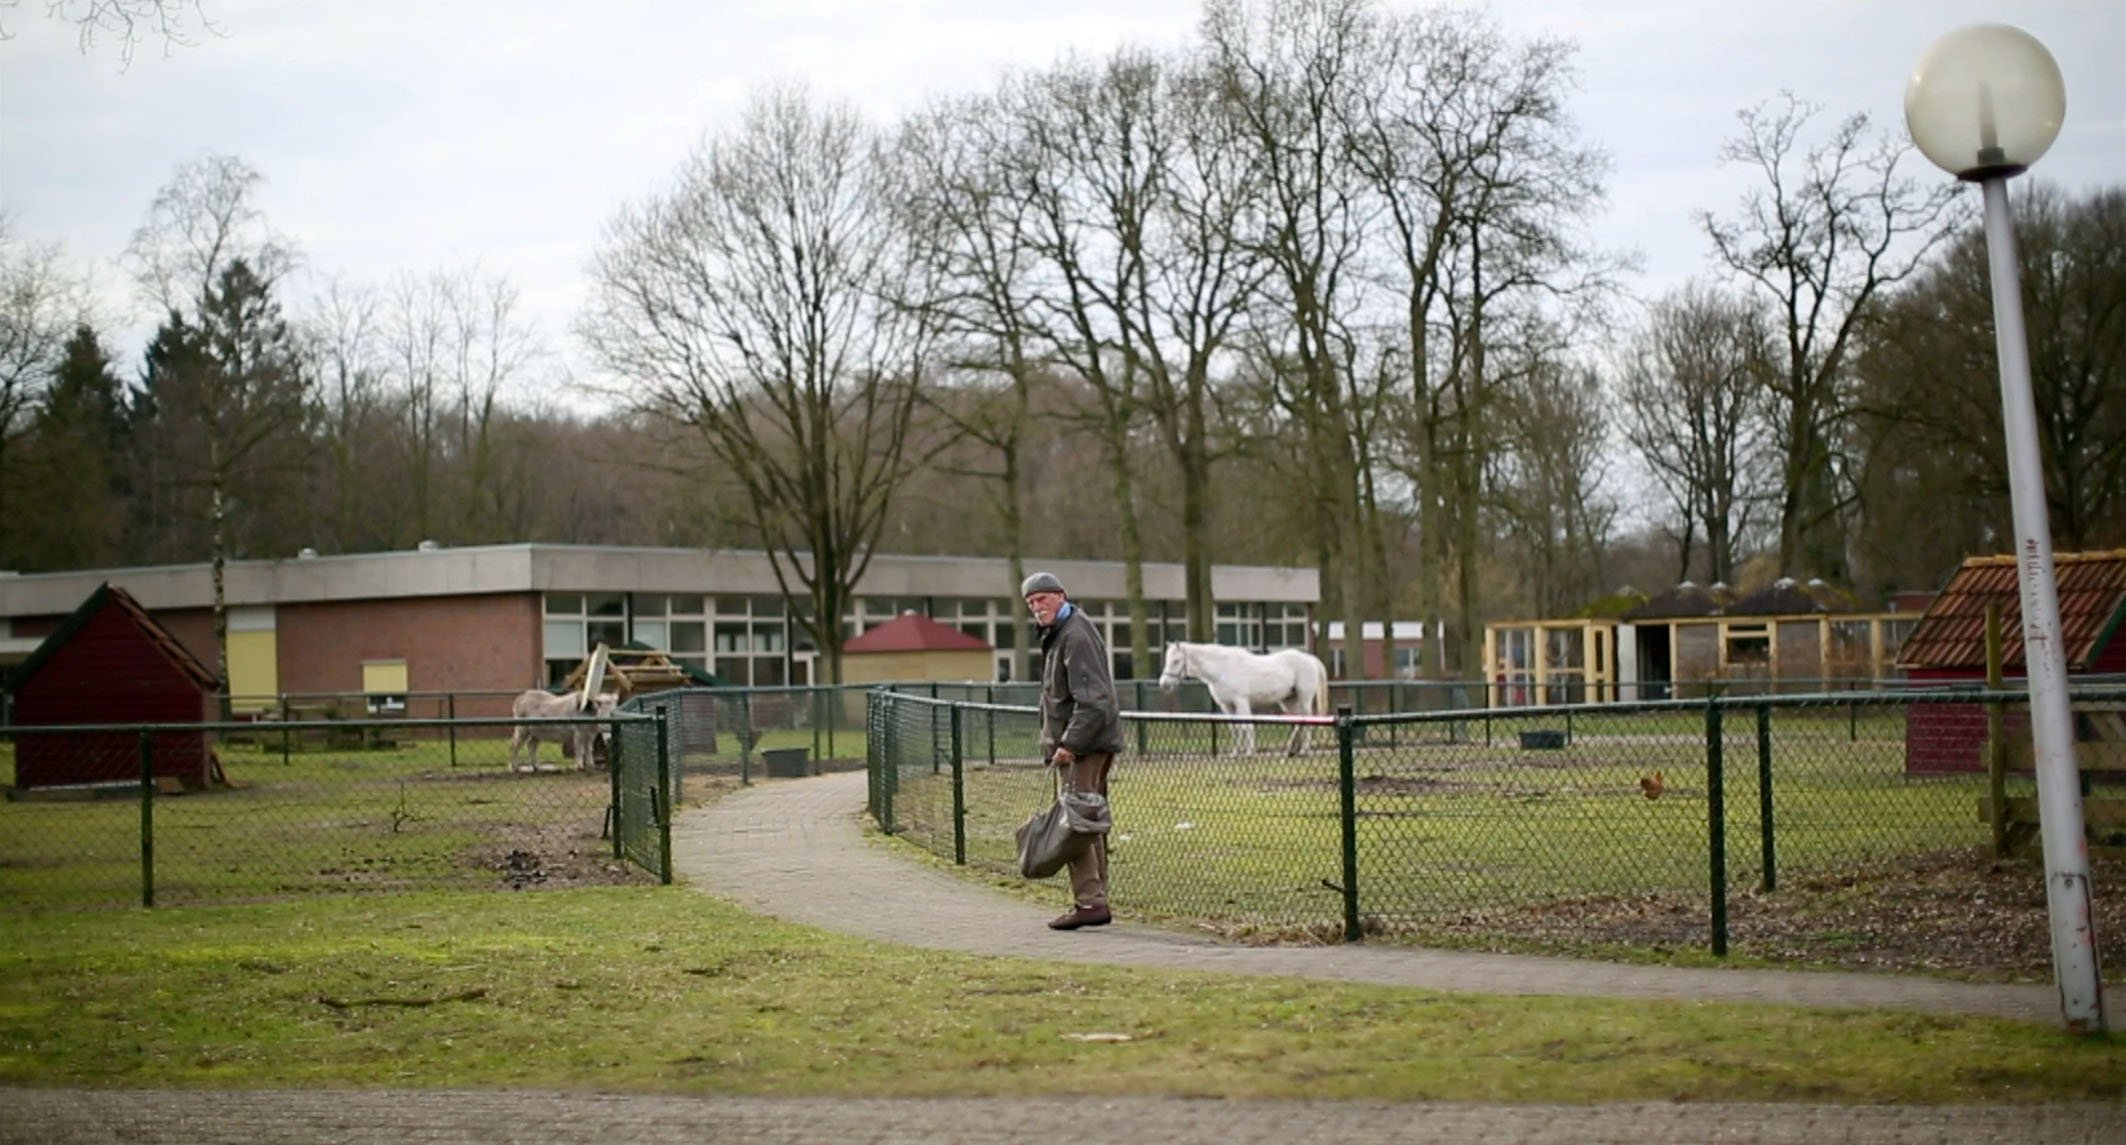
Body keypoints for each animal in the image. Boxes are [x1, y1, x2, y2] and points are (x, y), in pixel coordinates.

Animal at [1165, 641, 1326, 756]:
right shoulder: (1227, 706)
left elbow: (1246, 725)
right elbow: (1235, 728)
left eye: (1176, 661)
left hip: (1304, 699)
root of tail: (1309, 659)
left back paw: (1304, 750)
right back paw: (1289, 750)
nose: (1163, 683)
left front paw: (1249, 752)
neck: (1222, 669)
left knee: (1307, 720)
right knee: (1299, 721)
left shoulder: (1241, 702)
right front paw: (1235, 753)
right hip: (1288, 701)